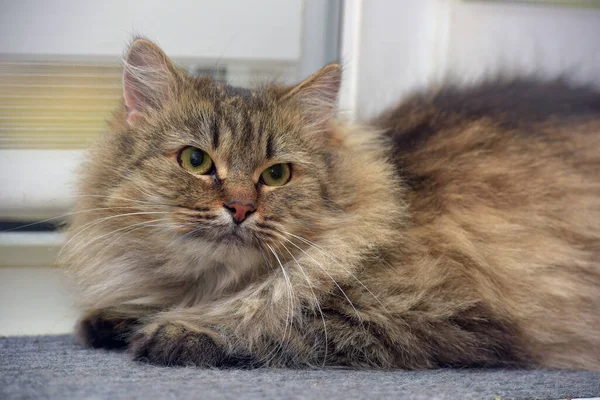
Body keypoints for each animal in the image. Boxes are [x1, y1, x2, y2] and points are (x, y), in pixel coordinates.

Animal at [61, 39, 600, 370]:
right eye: (196, 161)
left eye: (276, 175)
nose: (240, 209)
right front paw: (113, 319)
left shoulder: (437, 314)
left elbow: (279, 319)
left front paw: (173, 333)